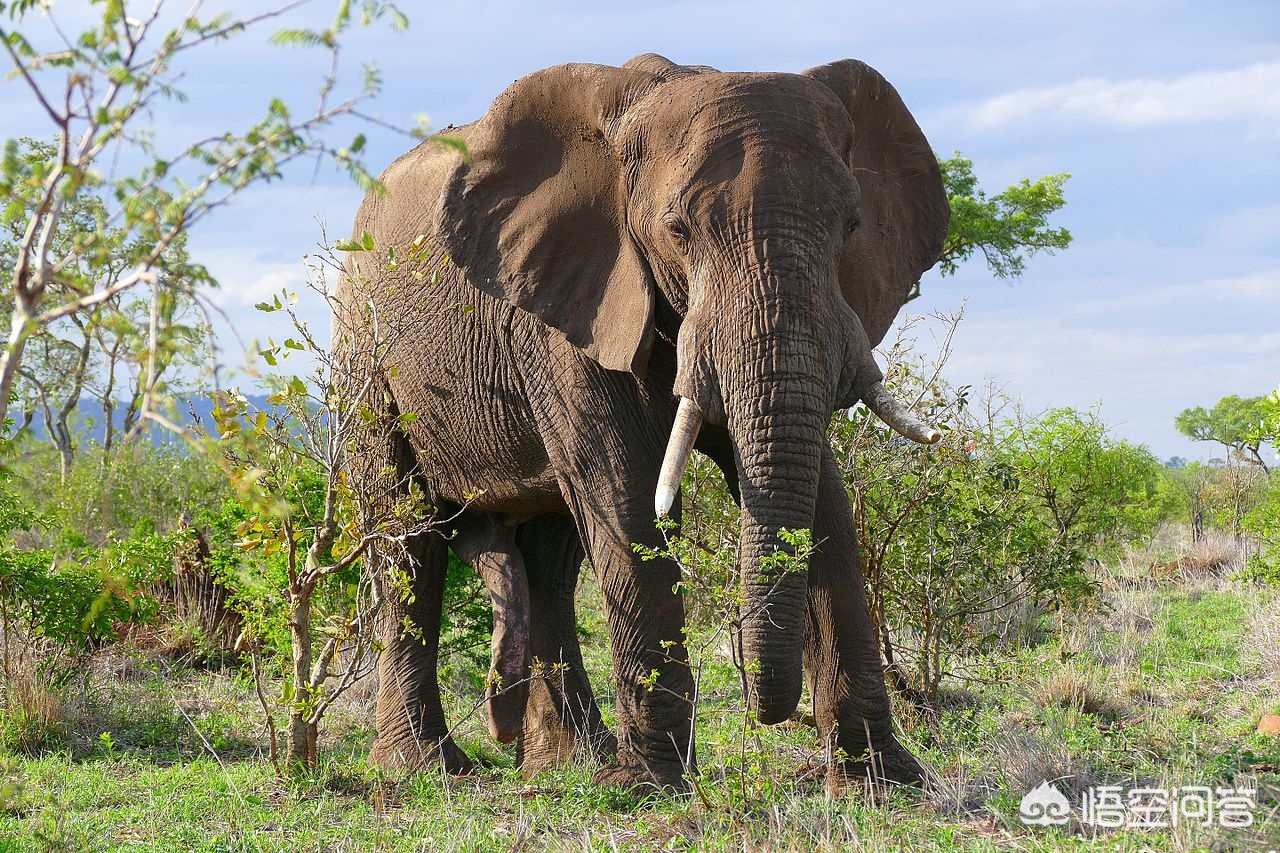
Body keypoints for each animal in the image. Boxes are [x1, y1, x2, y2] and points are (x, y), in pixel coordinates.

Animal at [340, 49, 952, 788]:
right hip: (366, 347)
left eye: (852, 225)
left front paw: (884, 782)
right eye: (678, 230)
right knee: (408, 535)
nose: (769, 712)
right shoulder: (570, 306)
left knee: (551, 555)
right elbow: (628, 494)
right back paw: (426, 770)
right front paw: (651, 786)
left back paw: (568, 763)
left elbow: (824, 499)